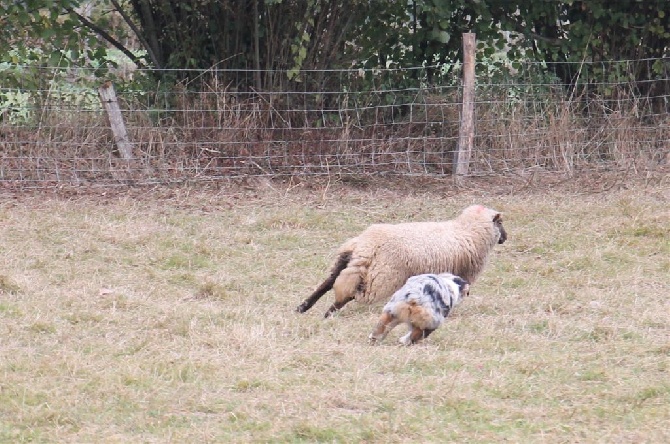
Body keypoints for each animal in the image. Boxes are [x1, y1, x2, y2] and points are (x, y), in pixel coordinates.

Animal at [296, 205, 506, 320]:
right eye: (501, 223)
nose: (505, 238)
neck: (467, 230)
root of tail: (367, 246)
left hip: (348, 261)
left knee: (328, 282)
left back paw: (303, 307)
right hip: (381, 277)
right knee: (350, 294)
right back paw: (328, 314)